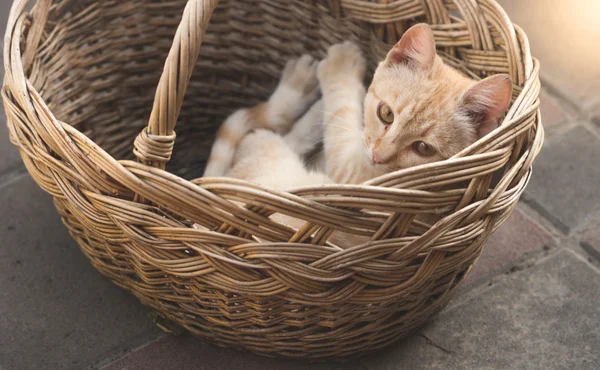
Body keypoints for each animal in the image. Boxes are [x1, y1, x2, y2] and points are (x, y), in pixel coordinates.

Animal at [200, 23, 510, 249]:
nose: (378, 156)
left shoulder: (353, 175)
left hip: (269, 153)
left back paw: (297, 91)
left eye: (423, 148)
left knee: (263, 133)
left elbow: (340, 110)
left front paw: (341, 64)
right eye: (386, 114)